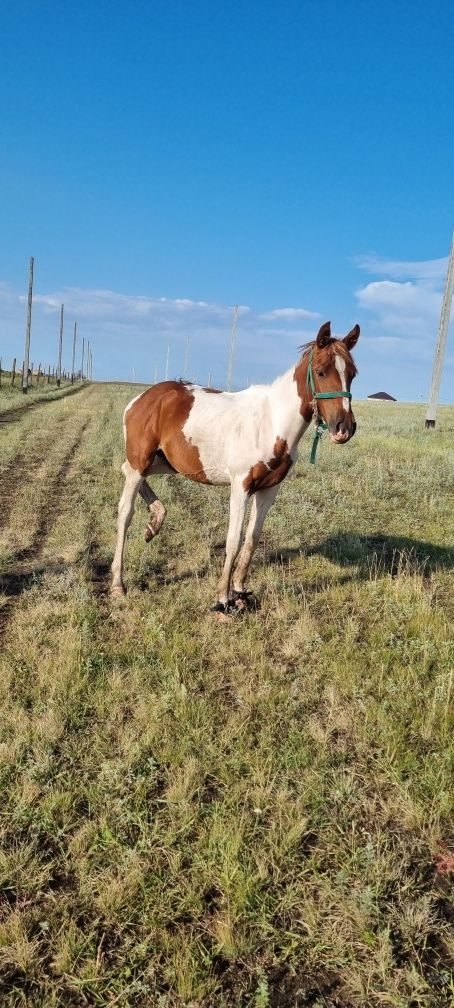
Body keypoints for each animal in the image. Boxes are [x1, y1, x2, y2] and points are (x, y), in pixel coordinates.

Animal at [110, 322, 359, 608]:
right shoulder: (241, 486)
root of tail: (140, 400)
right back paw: (118, 584)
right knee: (125, 513)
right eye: (321, 371)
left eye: (352, 374)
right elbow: (233, 540)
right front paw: (223, 598)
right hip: (141, 461)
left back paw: (155, 522)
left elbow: (252, 538)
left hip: (162, 461)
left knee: (127, 471)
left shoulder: (268, 489)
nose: (343, 428)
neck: (272, 423)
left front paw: (240, 590)